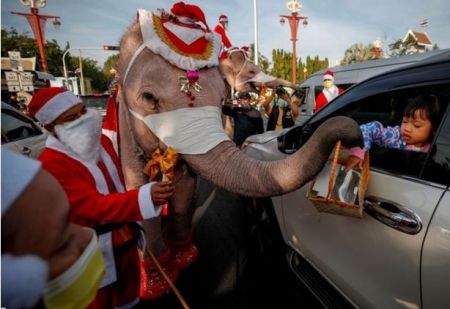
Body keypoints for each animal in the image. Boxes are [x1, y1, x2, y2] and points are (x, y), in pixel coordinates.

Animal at [110, 4, 364, 298]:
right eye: (148, 99)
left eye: (220, 98)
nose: (353, 131)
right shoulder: (125, 123)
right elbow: (136, 186)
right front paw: (156, 283)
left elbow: (186, 185)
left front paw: (185, 258)